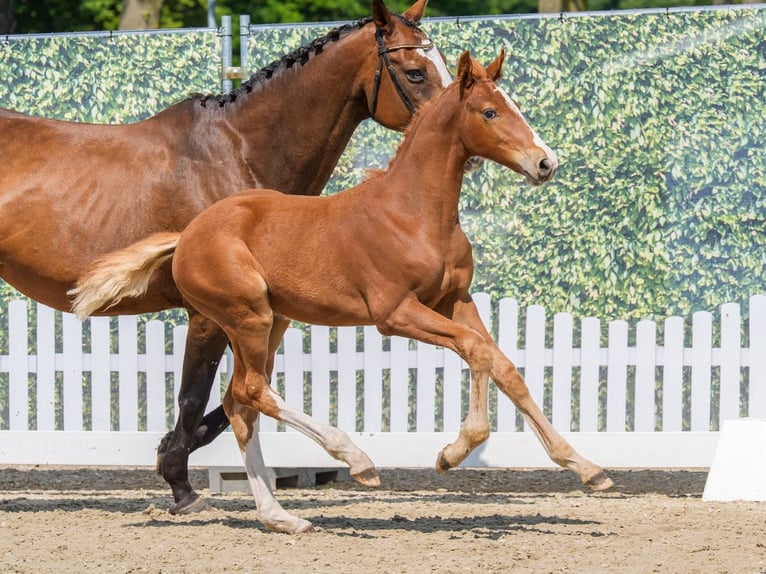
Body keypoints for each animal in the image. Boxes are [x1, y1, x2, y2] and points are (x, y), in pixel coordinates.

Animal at [0, 0, 450, 514]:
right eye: (415, 72)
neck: (239, 153)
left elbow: (236, 397)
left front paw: (170, 456)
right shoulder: (211, 316)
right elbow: (197, 397)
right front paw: (180, 484)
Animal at [72, 49, 614, 533]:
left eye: (513, 104)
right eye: (489, 111)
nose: (546, 163)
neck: (414, 213)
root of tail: (186, 235)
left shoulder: (454, 302)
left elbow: (504, 366)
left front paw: (587, 468)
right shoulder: (395, 313)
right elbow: (477, 352)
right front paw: (452, 452)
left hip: (271, 321)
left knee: (240, 404)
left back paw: (281, 518)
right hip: (248, 317)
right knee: (250, 391)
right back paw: (356, 459)